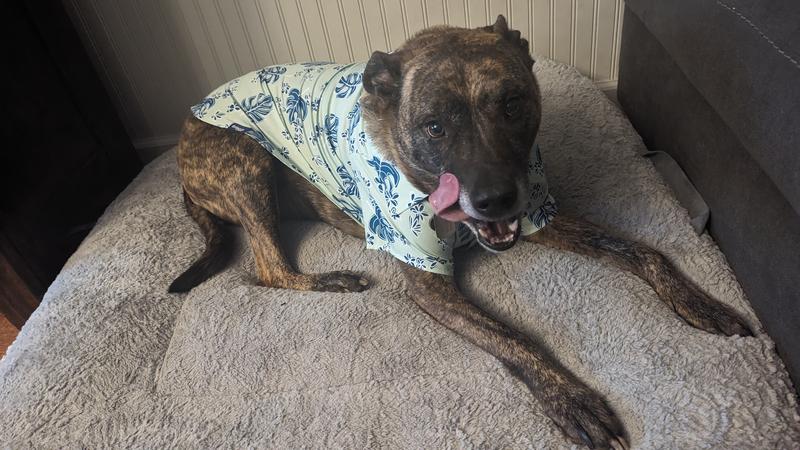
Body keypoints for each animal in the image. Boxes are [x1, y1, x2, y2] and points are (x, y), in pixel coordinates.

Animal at [170, 16, 752, 449]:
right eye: (434, 127)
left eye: (513, 105)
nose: (495, 199)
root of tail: (183, 136)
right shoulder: (431, 286)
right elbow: (516, 339)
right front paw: (572, 400)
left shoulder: (539, 216)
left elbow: (646, 251)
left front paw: (702, 304)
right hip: (245, 162)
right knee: (269, 269)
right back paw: (333, 280)